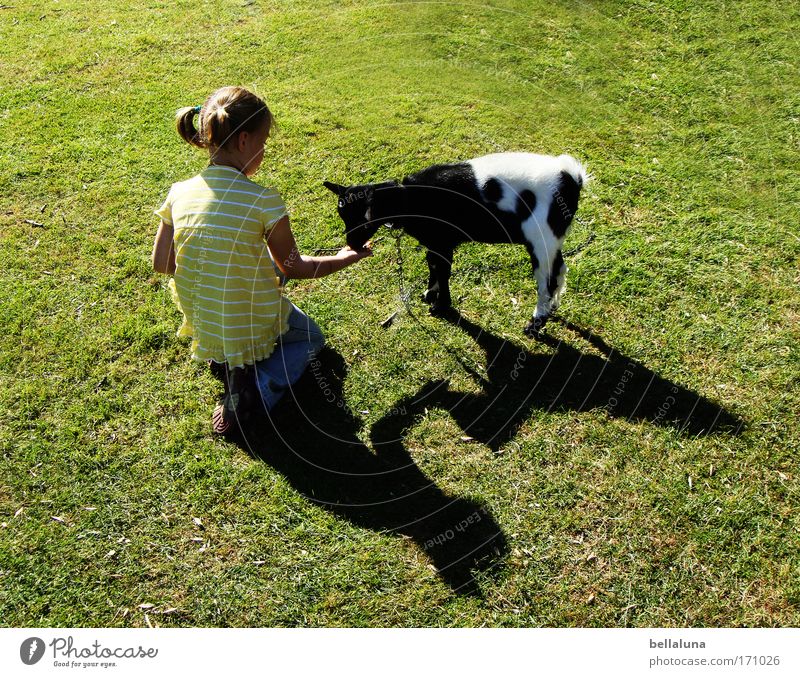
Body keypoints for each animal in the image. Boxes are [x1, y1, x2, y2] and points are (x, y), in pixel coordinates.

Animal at [324, 151, 588, 336]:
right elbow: (432, 265)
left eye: (365, 219)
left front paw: (441, 306)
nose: (351, 243)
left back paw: (534, 324)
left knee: (548, 280)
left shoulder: (443, 243)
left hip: (541, 237)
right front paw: (430, 294)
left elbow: (443, 270)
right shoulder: (435, 243)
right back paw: (553, 308)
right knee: (560, 269)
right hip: (551, 240)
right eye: (342, 214)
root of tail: (572, 177)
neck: (409, 198)